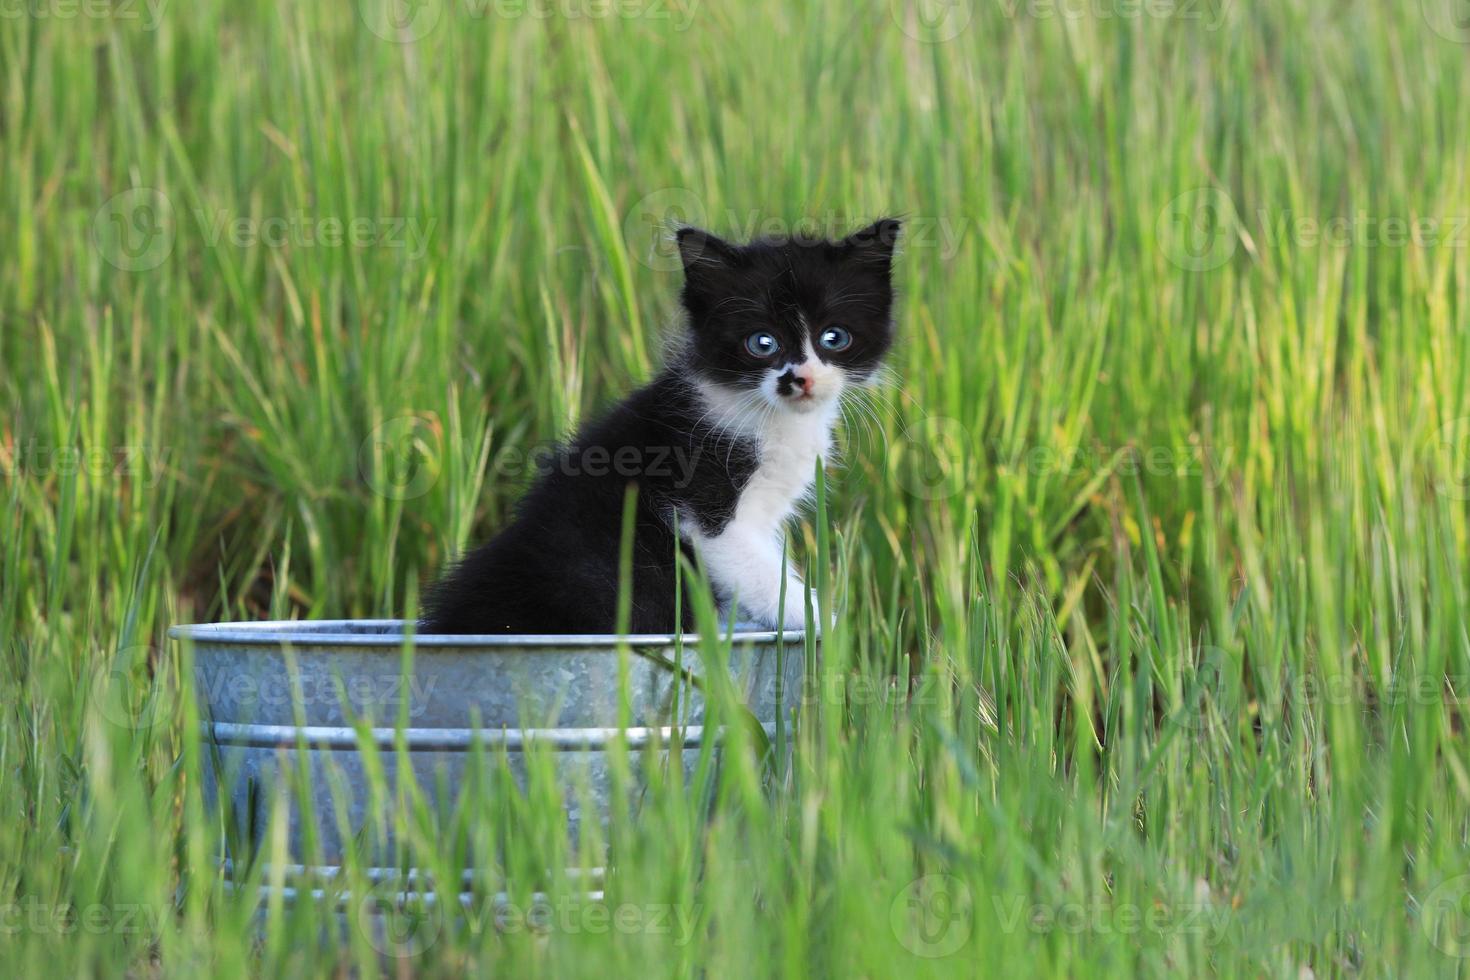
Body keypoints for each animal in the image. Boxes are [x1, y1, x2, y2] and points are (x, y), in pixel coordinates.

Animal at [420, 215, 899, 637]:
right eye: (762, 343)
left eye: (834, 337)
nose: (801, 379)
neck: (766, 417)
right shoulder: (705, 505)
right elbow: (759, 571)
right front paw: (822, 623)